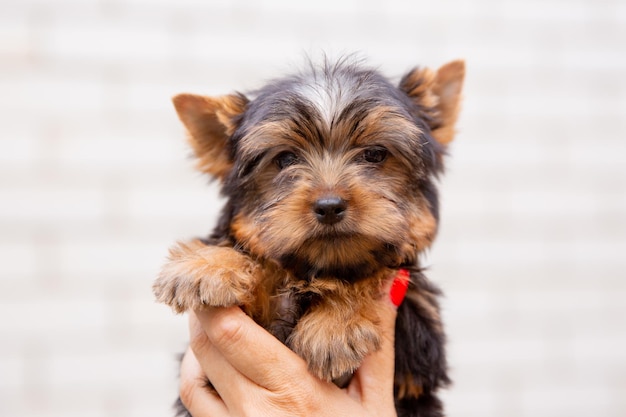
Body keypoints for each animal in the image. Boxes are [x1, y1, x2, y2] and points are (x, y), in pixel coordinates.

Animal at [153, 56, 460, 416]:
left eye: (375, 154)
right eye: (285, 158)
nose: (329, 206)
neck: (315, 269)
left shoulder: (417, 343)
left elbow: (374, 275)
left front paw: (334, 326)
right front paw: (208, 265)